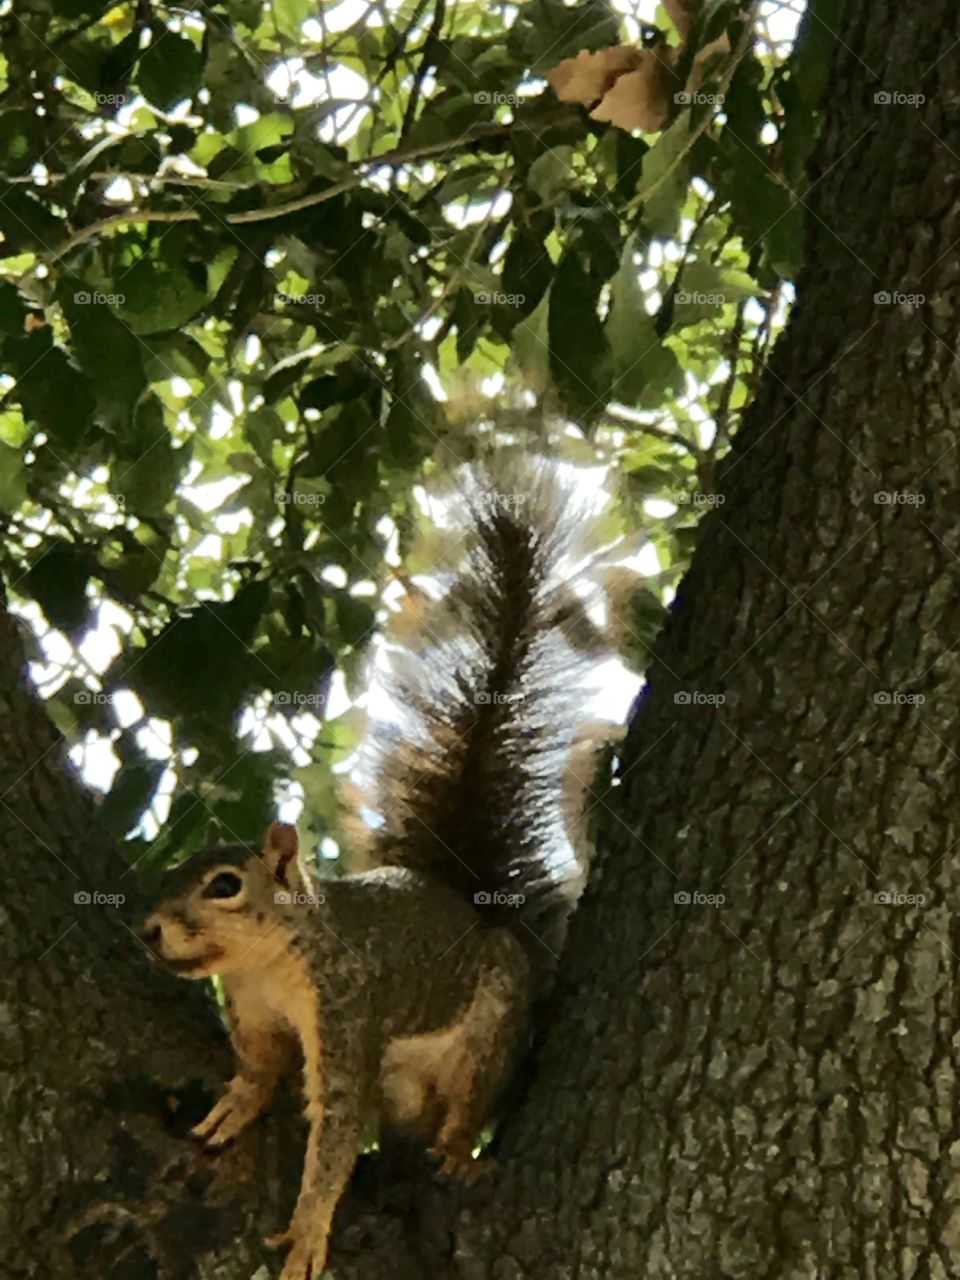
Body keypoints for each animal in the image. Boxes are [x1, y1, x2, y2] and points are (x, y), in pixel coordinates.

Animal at [139, 460, 617, 1280]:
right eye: (174, 871)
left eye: (224, 886)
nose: (148, 929)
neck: (272, 961)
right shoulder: (255, 1011)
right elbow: (262, 1068)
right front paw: (239, 1100)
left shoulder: (348, 1012)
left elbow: (335, 1126)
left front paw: (307, 1230)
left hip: (489, 1028)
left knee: (468, 1098)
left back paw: (455, 1150)